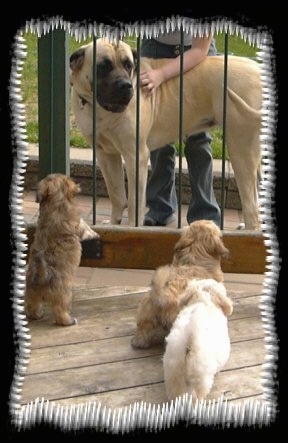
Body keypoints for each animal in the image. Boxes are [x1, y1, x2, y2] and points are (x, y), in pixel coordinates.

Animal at [23, 173, 98, 326]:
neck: (56, 204)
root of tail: (41, 277)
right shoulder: (78, 223)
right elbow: (85, 227)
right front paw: (93, 233)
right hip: (64, 295)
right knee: (60, 311)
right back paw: (68, 321)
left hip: (31, 294)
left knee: (32, 306)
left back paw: (36, 314)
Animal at [70, 37, 264, 229]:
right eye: (103, 66)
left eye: (128, 65)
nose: (126, 86)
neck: (99, 109)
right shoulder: (106, 155)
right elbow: (116, 195)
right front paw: (113, 224)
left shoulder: (135, 156)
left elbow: (134, 202)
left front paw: (131, 228)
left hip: (241, 149)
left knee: (251, 207)